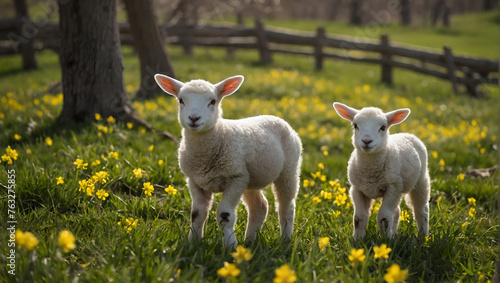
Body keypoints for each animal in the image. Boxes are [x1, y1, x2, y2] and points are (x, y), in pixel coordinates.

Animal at [153, 74, 300, 248]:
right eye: (181, 100)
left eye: (213, 101)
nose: (194, 118)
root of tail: (274, 117)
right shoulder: (195, 181)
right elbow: (197, 214)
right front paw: (193, 243)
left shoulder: (235, 178)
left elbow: (224, 215)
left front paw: (230, 245)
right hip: (250, 178)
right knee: (259, 206)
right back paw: (250, 241)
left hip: (288, 170)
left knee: (287, 206)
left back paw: (285, 239)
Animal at [332, 102, 430, 240]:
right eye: (355, 125)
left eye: (383, 127)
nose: (366, 141)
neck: (369, 171)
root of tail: (407, 134)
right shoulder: (357, 189)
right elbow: (359, 217)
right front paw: (358, 239)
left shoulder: (393, 187)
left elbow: (384, 217)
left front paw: (386, 240)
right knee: (397, 211)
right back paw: (394, 233)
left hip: (421, 181)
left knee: (421, 210)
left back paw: (423, 236)